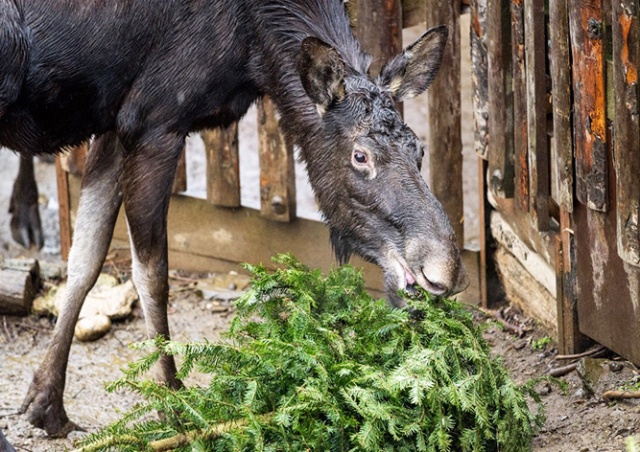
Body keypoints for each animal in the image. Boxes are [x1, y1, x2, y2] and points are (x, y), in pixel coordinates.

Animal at [2, 0, 468, 438]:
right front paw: (174, 408)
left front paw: (45, 402)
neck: (255, 49)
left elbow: (86, 256)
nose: (446, 270)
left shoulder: (114, 123)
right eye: (360, 156)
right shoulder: (154, 122)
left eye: (419, 149)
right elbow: (152, 274)